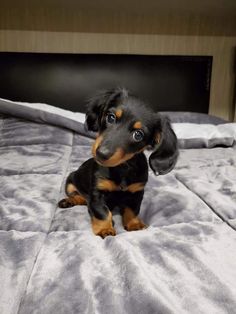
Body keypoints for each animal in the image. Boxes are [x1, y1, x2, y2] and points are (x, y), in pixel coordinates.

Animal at [58, 87, 178, 238]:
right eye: (111, 117)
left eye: (138, 135)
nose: (101, 153)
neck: (122, 167)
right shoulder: (97, 193)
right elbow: (102, 212)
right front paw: (105, 229)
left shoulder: (136, 192)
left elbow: (132, 210)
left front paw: (134, 224)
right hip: (70, 181)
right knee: (79, 197)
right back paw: (68, 201)